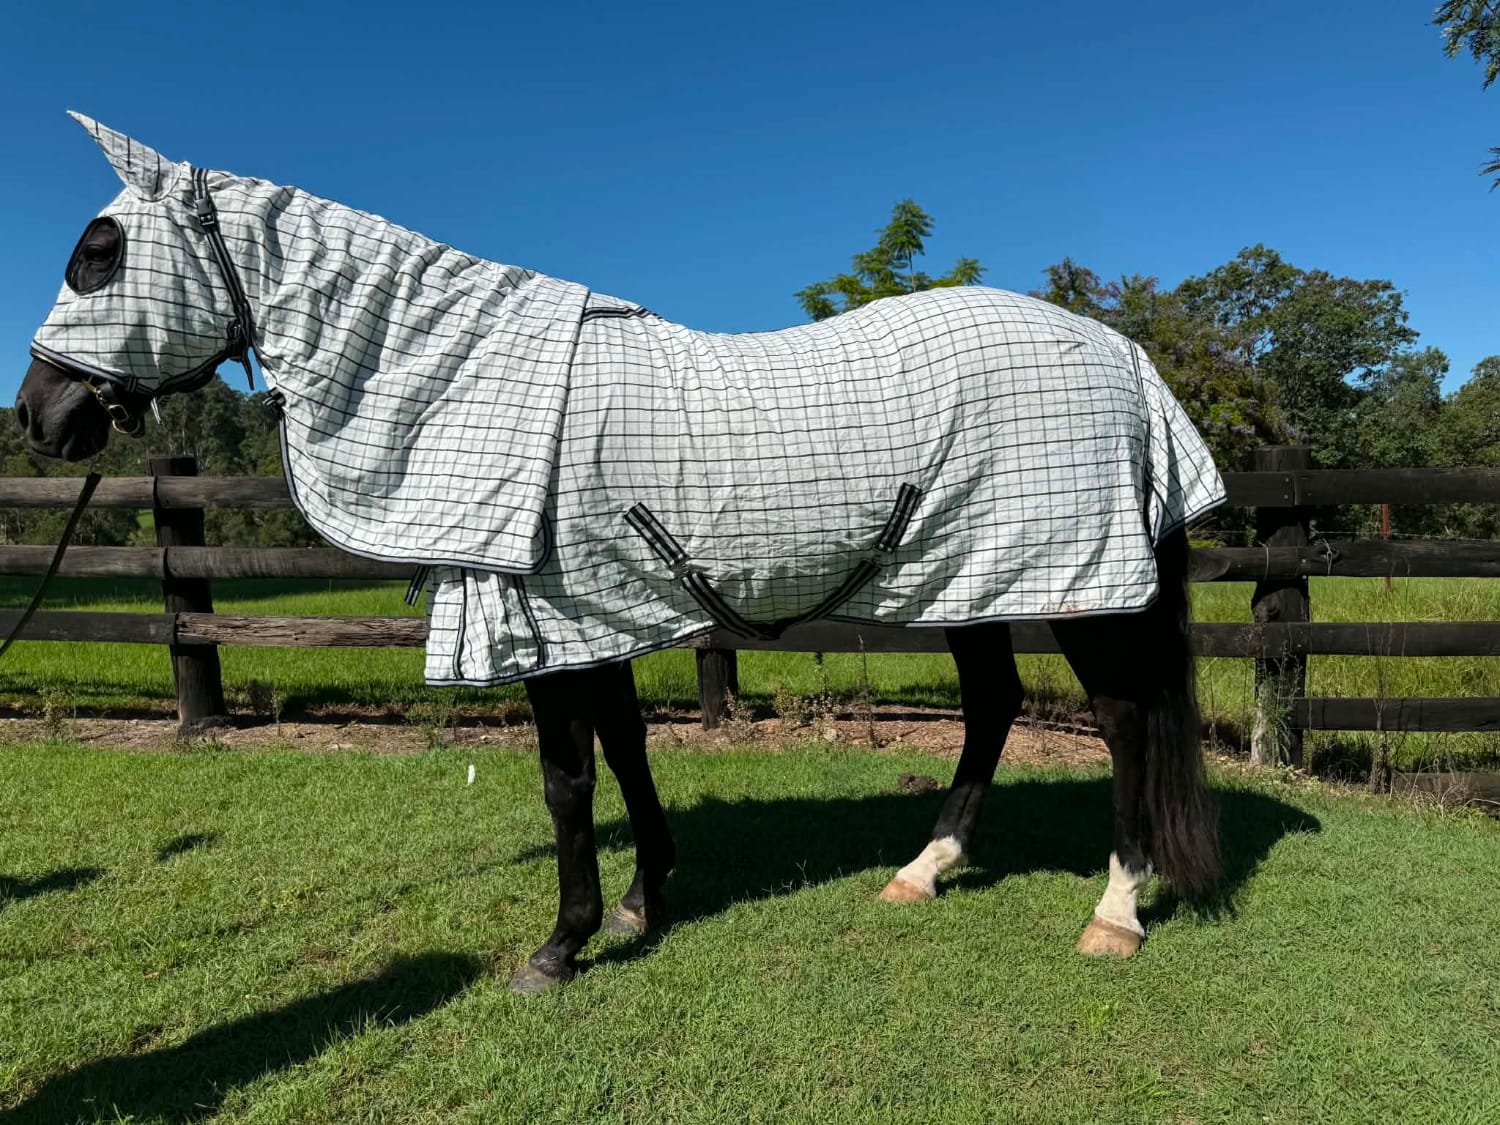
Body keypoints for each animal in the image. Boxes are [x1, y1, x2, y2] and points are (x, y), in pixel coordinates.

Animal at [18, 114, 1223, 994]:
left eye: (99, 254)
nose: (38, 416)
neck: (468, 376)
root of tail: (1117, 351)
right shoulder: (592, 613)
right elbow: (629, 751)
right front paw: (646, 900)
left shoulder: (544, 619)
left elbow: (566, 778)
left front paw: (562, 944)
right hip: (969, 579)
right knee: (994, 705)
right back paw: (921, 873)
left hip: (1083, 586)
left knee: (1121, 721)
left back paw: (1115, 914)